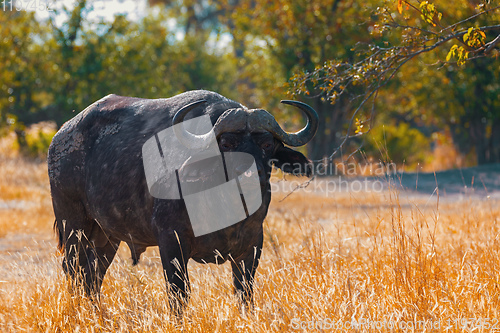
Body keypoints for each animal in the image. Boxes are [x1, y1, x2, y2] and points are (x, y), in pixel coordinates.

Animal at [48, 89, 318, 310]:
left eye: (267, 144)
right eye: (227, 143)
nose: (252, 174)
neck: (226, 204)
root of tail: (60, 137)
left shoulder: (252, 246)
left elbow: (244, 293)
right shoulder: (171, 241)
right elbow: (178, 295)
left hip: (106, 235)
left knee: (92, 274)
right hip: (73, 223)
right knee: (73, 268)